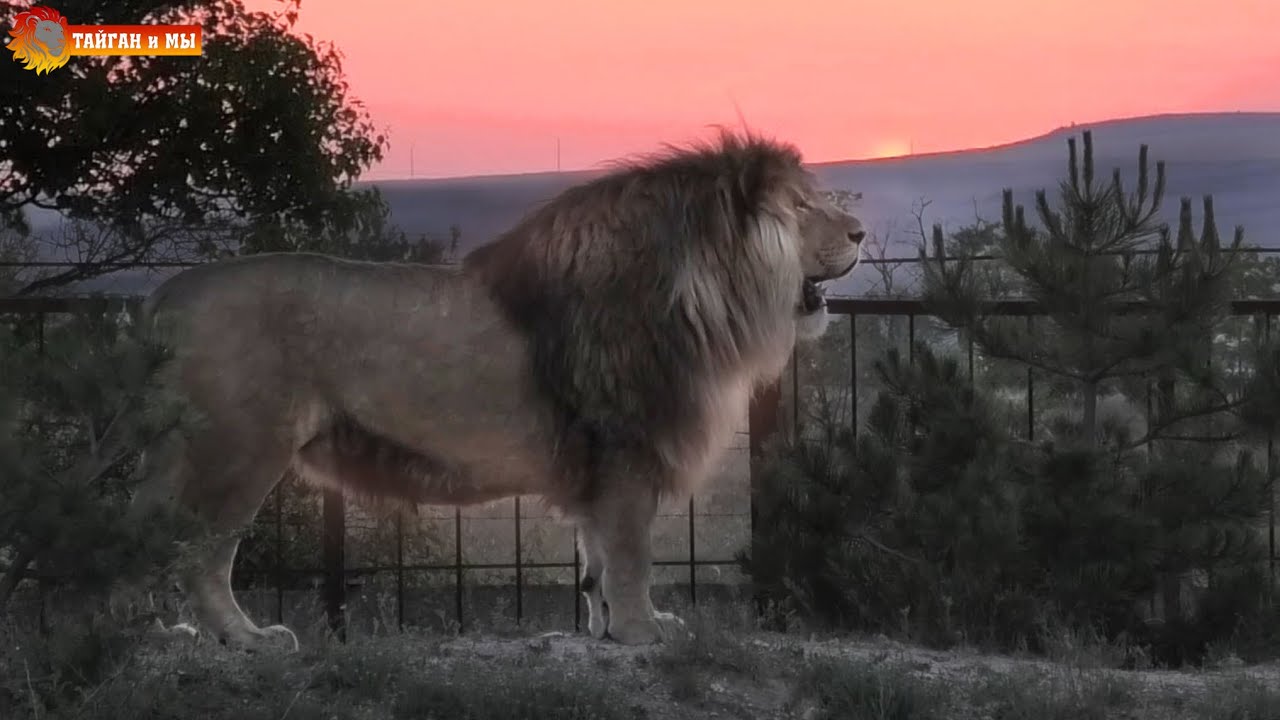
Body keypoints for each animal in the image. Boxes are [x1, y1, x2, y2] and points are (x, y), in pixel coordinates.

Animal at [127, 131, 865, 650]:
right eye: (803, 206)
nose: (861, 232)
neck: (701, 294)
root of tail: (165, 297)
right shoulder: (625, 447)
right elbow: (631, 553)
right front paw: (642, 631)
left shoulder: (600, 465)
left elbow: (596, 557)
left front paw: (605, 627)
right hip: (239, 450)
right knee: (201, 553)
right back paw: (244, 638)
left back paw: (148, 632)